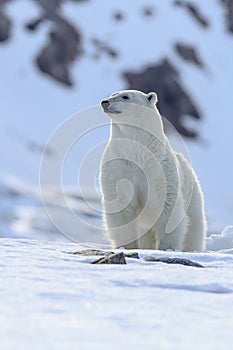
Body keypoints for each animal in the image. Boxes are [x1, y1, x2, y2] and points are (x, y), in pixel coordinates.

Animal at [99, 89, 207, 250]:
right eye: (113, 94)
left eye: (125, 96)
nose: (105, 102)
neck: (138, 153)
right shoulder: (118, 166)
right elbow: (121, 205)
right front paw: (127, 247)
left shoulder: (159, 169)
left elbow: (166, 207)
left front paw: (167, 247)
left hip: (192, 194)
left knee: (194, 227)